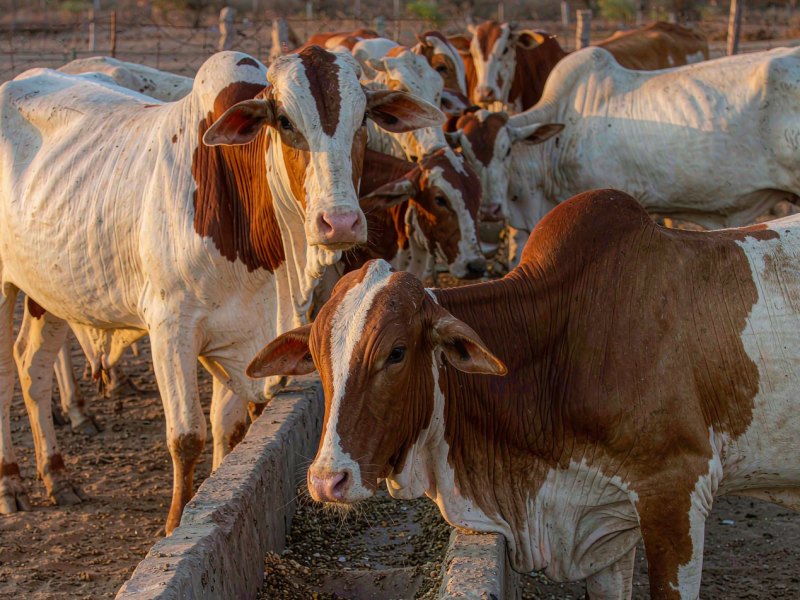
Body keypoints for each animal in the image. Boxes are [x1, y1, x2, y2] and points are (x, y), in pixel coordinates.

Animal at [0, 47, 441, 532]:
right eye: (284, 121)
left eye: (362, 119)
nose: (340, 222)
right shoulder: (170, 329)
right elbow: (187, 435)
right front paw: (177, 521)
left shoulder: (239, 338)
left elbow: (226, 430)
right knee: (6, 375)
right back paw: (12, 481)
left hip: (49, 293)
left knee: (32, 367)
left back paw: (56, 474)